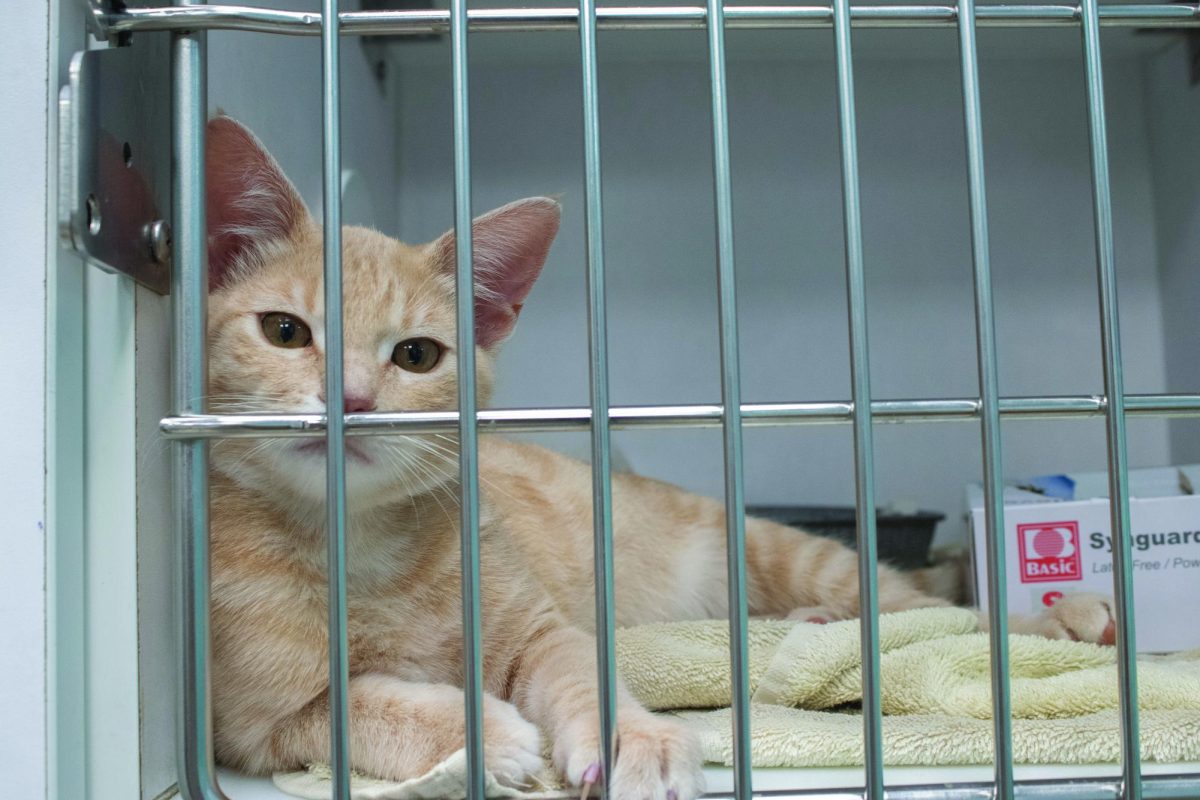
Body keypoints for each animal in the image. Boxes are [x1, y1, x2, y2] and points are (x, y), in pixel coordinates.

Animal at [204, 115, 1113, 796]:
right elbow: (360, 705)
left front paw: (633, 738)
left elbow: (582, 669)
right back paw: (812, 629)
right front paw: (484, 737)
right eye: (284, 330)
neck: (367, 550)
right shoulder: (258, 728)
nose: (355, 400)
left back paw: (1058, 620)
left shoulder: (543, 631)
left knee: (930, 612)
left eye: (418, 356)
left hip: (782, 551)